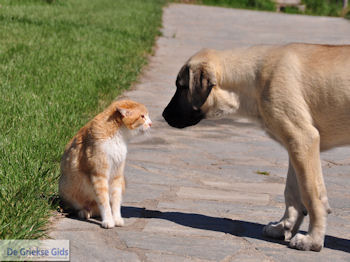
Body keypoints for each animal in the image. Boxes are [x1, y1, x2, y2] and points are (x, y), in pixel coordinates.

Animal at [59, 99, 152, 228]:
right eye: (142, 116)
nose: (151, 123)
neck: (118, 136)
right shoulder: (99, 175)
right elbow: (104, 201)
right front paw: (108, 220)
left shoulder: (117, 175)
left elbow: (115, 200)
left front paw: (116, 218)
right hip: (66, 187)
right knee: (84, 207)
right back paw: (84, 212)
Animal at [163, 43, 350, 252]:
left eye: (182, 87)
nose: (164, 115)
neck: (255, 79)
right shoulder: (294, 145)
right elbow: (292, 192)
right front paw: (284, 226)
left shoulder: (303, 139)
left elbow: (311, 194)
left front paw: (313, 239)